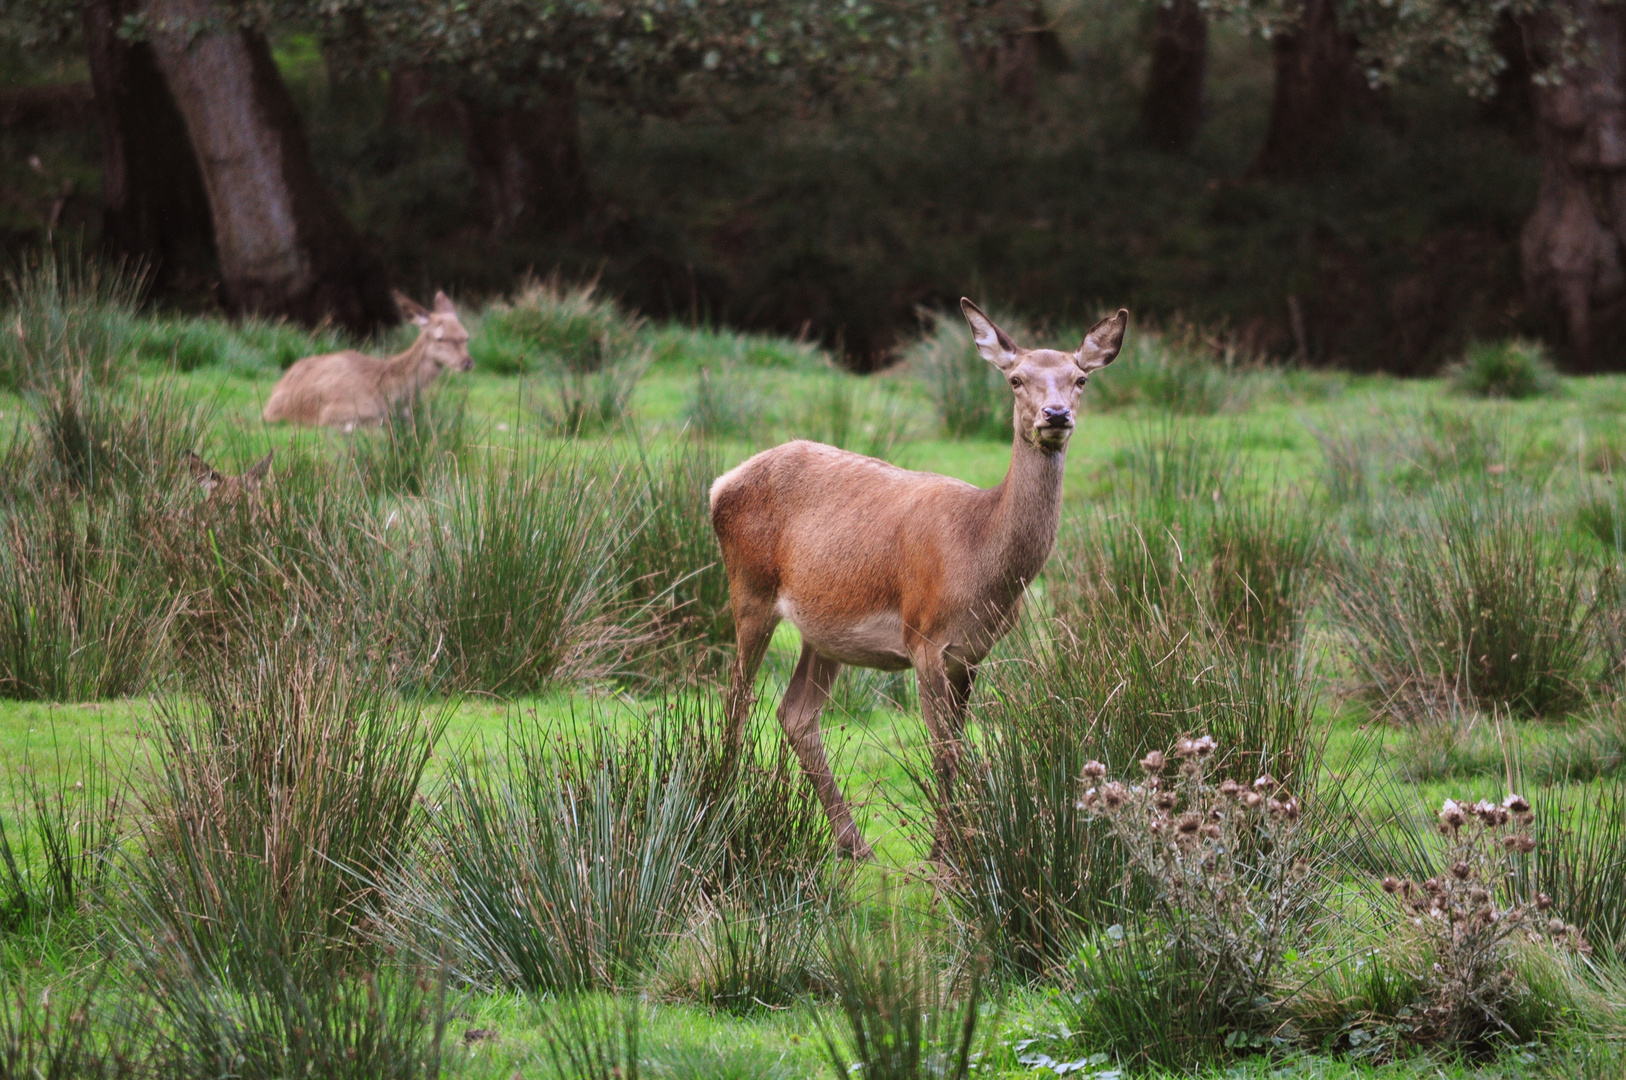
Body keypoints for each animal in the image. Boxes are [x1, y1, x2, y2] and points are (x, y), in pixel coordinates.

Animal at [260, 296, 474, 435]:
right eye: (440, 338)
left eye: (466, 336)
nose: (467, 362)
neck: (390, 393)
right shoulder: (334, 411)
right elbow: (380, 421)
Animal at [712, 299, 1131, 858]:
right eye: (1016, 379)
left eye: (1081, 378)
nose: (1056, 415)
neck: (979, 560)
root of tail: (719, 485)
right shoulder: (924, 638)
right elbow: (944, 755)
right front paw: (943, 858)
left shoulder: (972, 653)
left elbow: (960, 748)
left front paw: (955, 848)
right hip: (750, 587)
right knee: (736, 699)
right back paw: (719, 806)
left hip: (823, 629)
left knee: (795, 714)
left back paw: (854, 844)